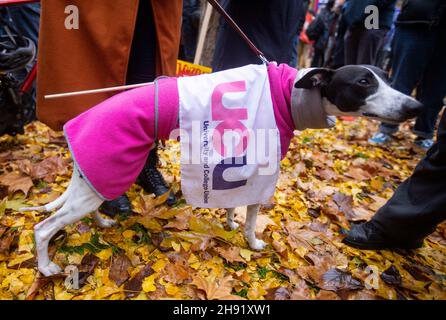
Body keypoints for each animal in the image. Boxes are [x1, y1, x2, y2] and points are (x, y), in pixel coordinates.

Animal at [21, 63, 422, 276]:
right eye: (363, 82)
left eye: (385, 77)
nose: (415, 107)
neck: (289, 94)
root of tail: (78, 122)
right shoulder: (260, 174)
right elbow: (251, 218)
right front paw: (252, 242)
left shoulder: (237, 167)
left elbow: (232, 205)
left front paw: (228, 224)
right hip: (101, 178)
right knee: (43, 229)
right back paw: (46, 267)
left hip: (95, 180)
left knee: (83, 209)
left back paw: (102, 222)